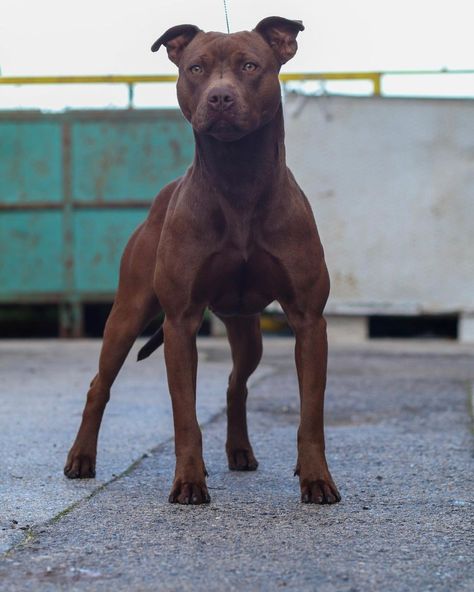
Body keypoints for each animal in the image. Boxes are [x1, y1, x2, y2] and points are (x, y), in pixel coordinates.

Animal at [65, 18, 340, 506]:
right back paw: (81, 458)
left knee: (236, 383)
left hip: (246, 330)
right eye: (196, 68)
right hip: (127, 314)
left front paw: (316, 480)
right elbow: (185, 415)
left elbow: (311, 414)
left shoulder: (308, 320)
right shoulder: (181, 321)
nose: (220, 97)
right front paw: (190, 481)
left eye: (250, 66)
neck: (238, 180)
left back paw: (240, 451)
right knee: (100, 384)